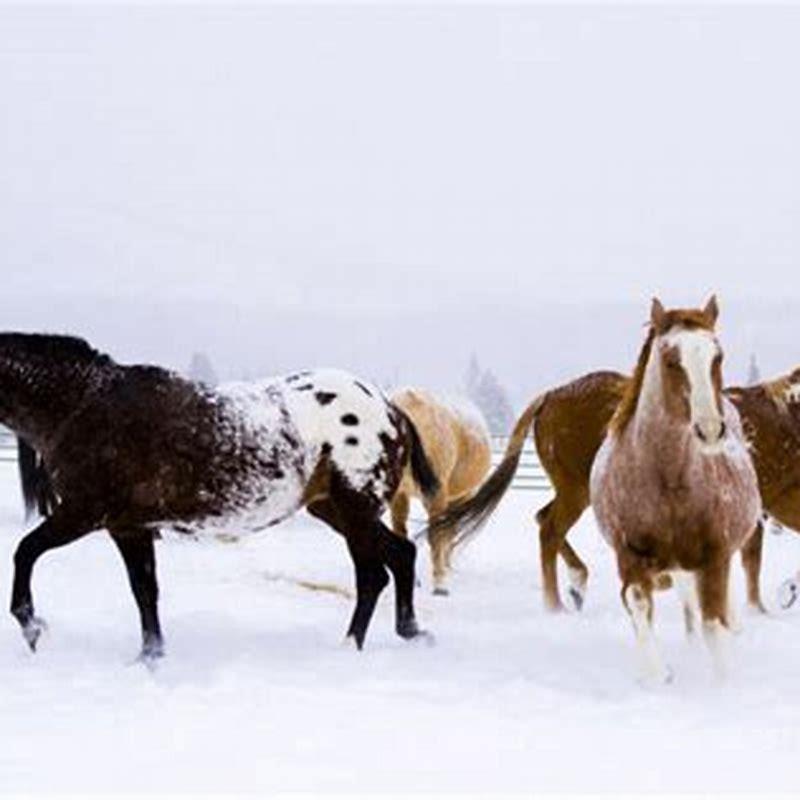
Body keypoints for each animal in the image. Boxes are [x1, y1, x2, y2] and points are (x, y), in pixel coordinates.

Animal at [0, 333, 439, 661]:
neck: (84, 404)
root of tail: (390, 410)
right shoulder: (129, 527)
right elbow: (145, 591)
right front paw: (151, 656)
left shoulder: (83, 514)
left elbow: (25, 552)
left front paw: (32, 627)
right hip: (335, 511)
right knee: (394, 562)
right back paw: (403, 633)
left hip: (355, 511)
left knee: (377, 573)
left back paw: (356, 645)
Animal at [389, 388, 491, 594]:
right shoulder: (400, 495)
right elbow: (401, 533)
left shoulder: (438, 496)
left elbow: (438, 535)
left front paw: (440, 583)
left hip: (454, 496)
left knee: (447, 531)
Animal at [590, 296, 761, 682]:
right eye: (671, 360)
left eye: (718, 356)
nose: (710, 430)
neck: (669, 483)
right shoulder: (630, 558)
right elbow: (639, 605)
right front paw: (657, 677)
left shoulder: (715, 559)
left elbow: (715, 624)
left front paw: (723, 682)